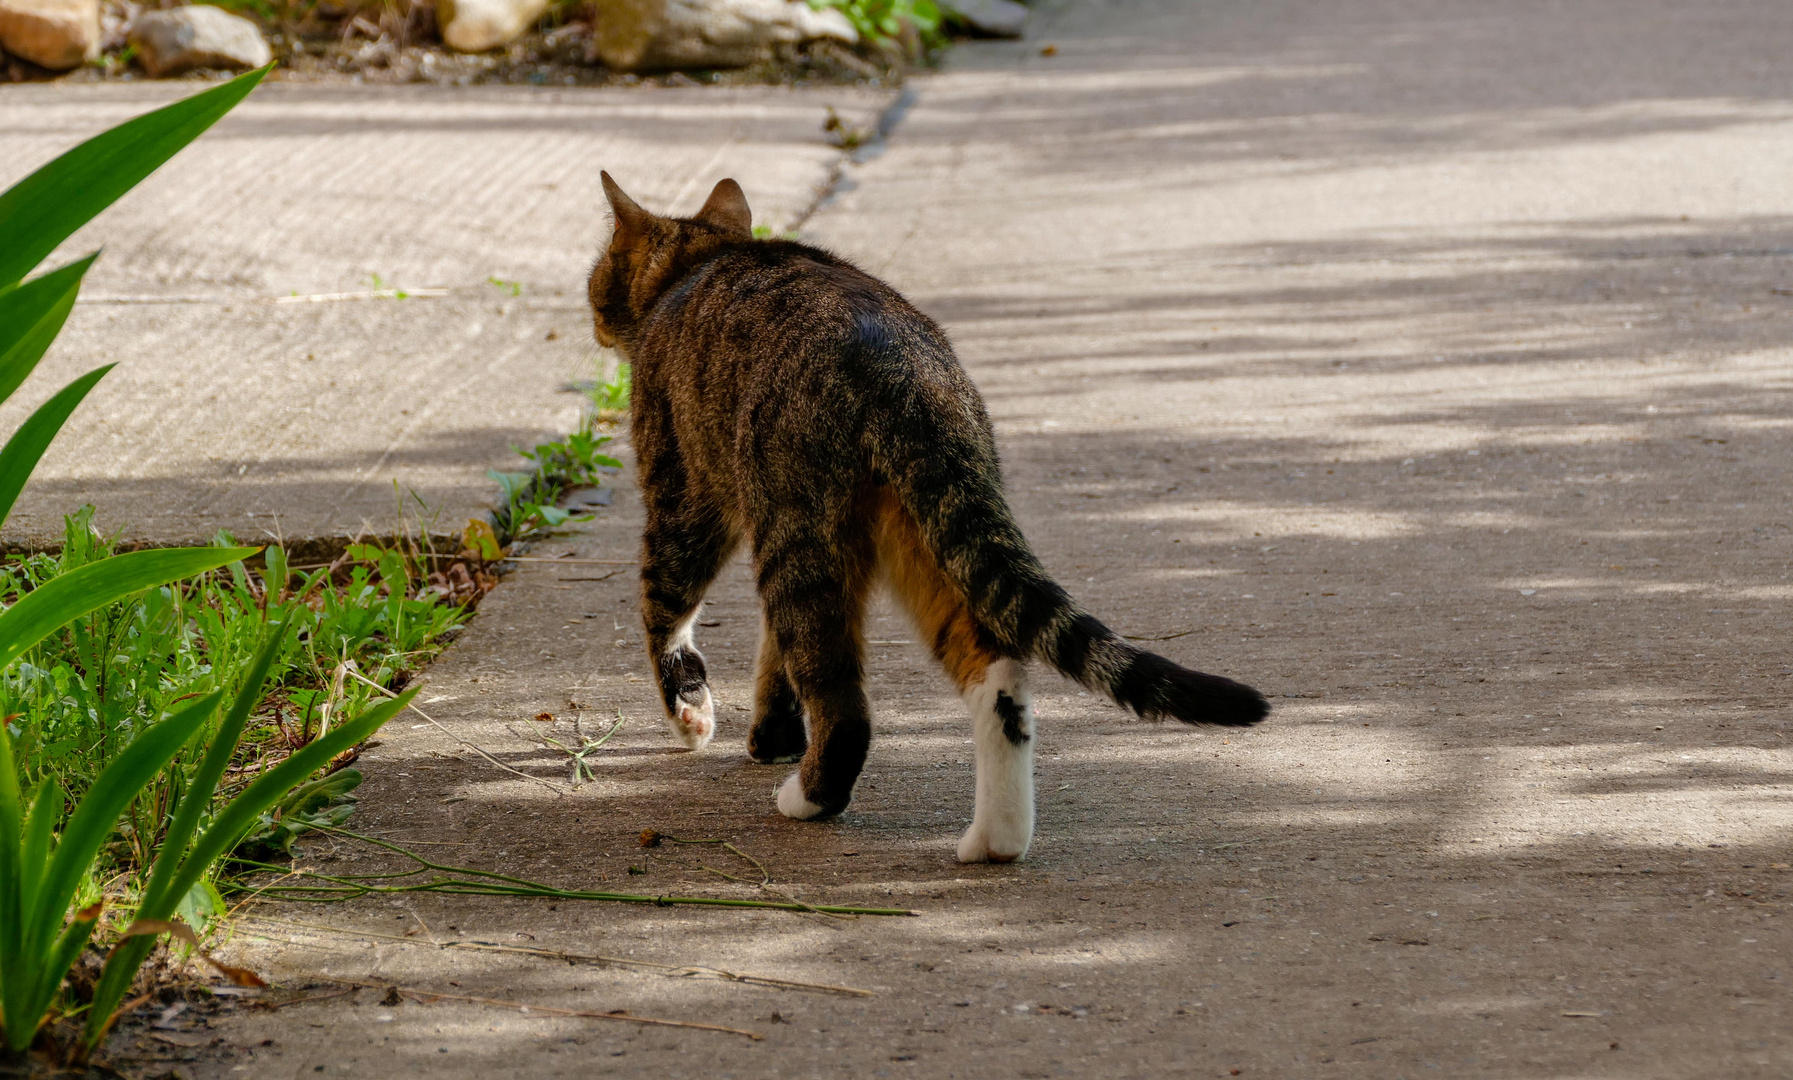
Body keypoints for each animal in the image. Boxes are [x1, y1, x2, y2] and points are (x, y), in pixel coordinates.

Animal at [580, 170, 1269, 857]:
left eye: (596, 273)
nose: (591, 314)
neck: (702, 262)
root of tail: (904, 369)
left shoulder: (684, 496)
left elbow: (666, 616)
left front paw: (693, 717)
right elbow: (771, 656)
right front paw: (774, 738)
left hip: (798, 534)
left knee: (845, 705)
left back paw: (810, 799)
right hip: (927, 534)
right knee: (997, 675)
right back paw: (995, 840)